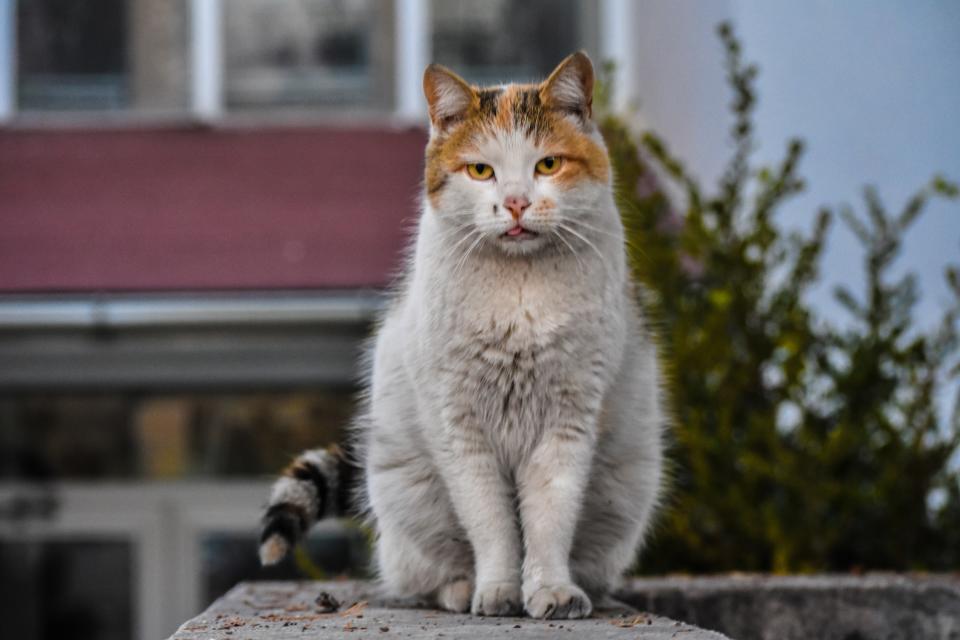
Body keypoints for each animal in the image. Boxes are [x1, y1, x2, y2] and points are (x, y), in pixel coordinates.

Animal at [258, 50, 664, 620]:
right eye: (480, 170)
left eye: (547, 165)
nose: (515, 203)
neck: (519, 290)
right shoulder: (460, 427)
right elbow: (491, 524)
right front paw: (496, 591)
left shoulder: (567, 422)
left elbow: (549, 519)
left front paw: (550, 590)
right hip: (410, 491)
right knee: (424, 573)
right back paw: (458, 590)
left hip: (624, 489)